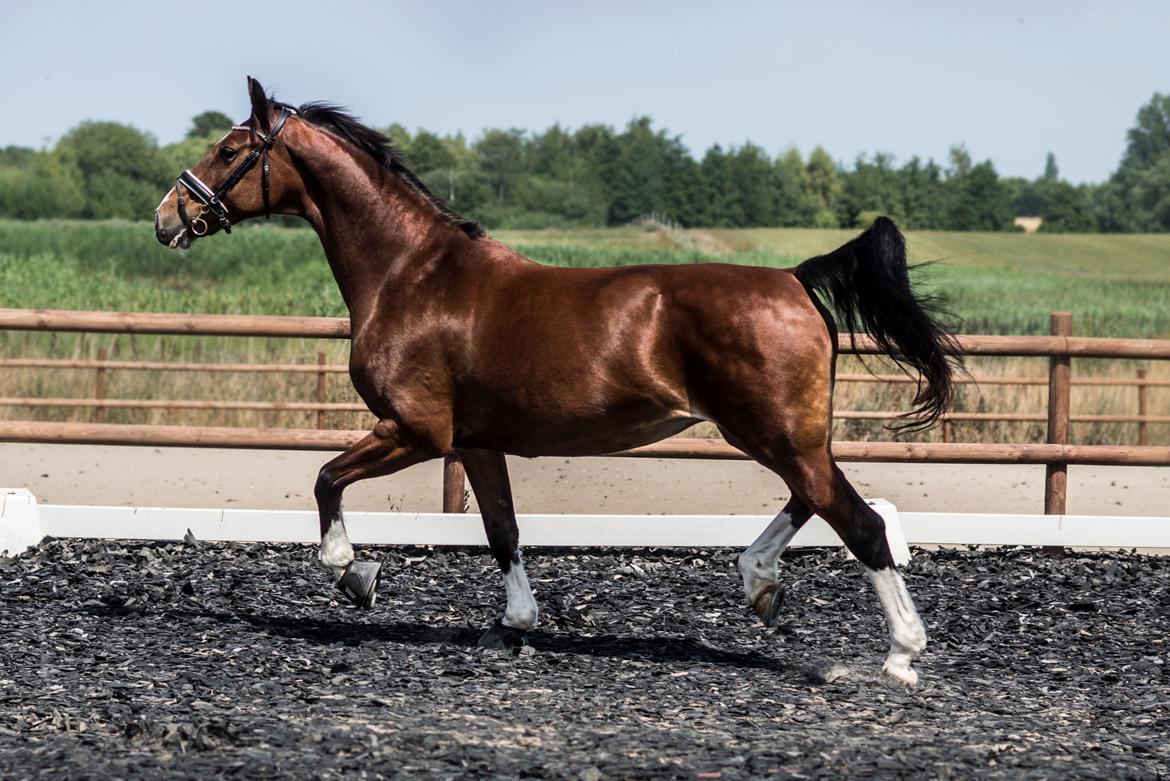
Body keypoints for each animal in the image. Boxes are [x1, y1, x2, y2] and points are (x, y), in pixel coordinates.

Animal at [155, 74, 959, 682]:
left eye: (230, 148)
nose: (167, 216)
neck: (411, 276)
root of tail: (794, 278)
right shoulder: (476, 442)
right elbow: (502, 529)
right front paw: (512, 624)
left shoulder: (417, 430)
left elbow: (325, 479)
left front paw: (355, 576)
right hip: (782, 435)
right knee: (819, 500)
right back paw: (760, 583)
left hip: (774, 433)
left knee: (857, 520)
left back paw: (899, 656)